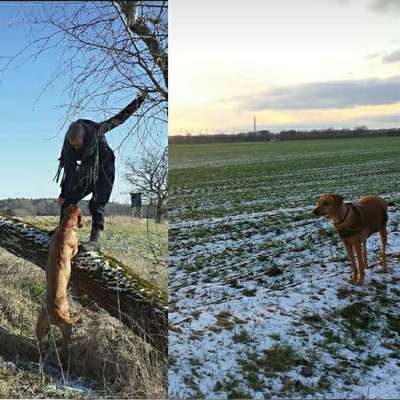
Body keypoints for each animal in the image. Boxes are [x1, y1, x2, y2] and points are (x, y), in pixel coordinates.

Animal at [36, 203, 82, 360]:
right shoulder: (74, 247)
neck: (66, 227)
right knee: (66, 340)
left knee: (39, 340)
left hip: (40, 322)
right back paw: (63, 356)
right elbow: (76, 249)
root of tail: (55, 310)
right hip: (67, 325)